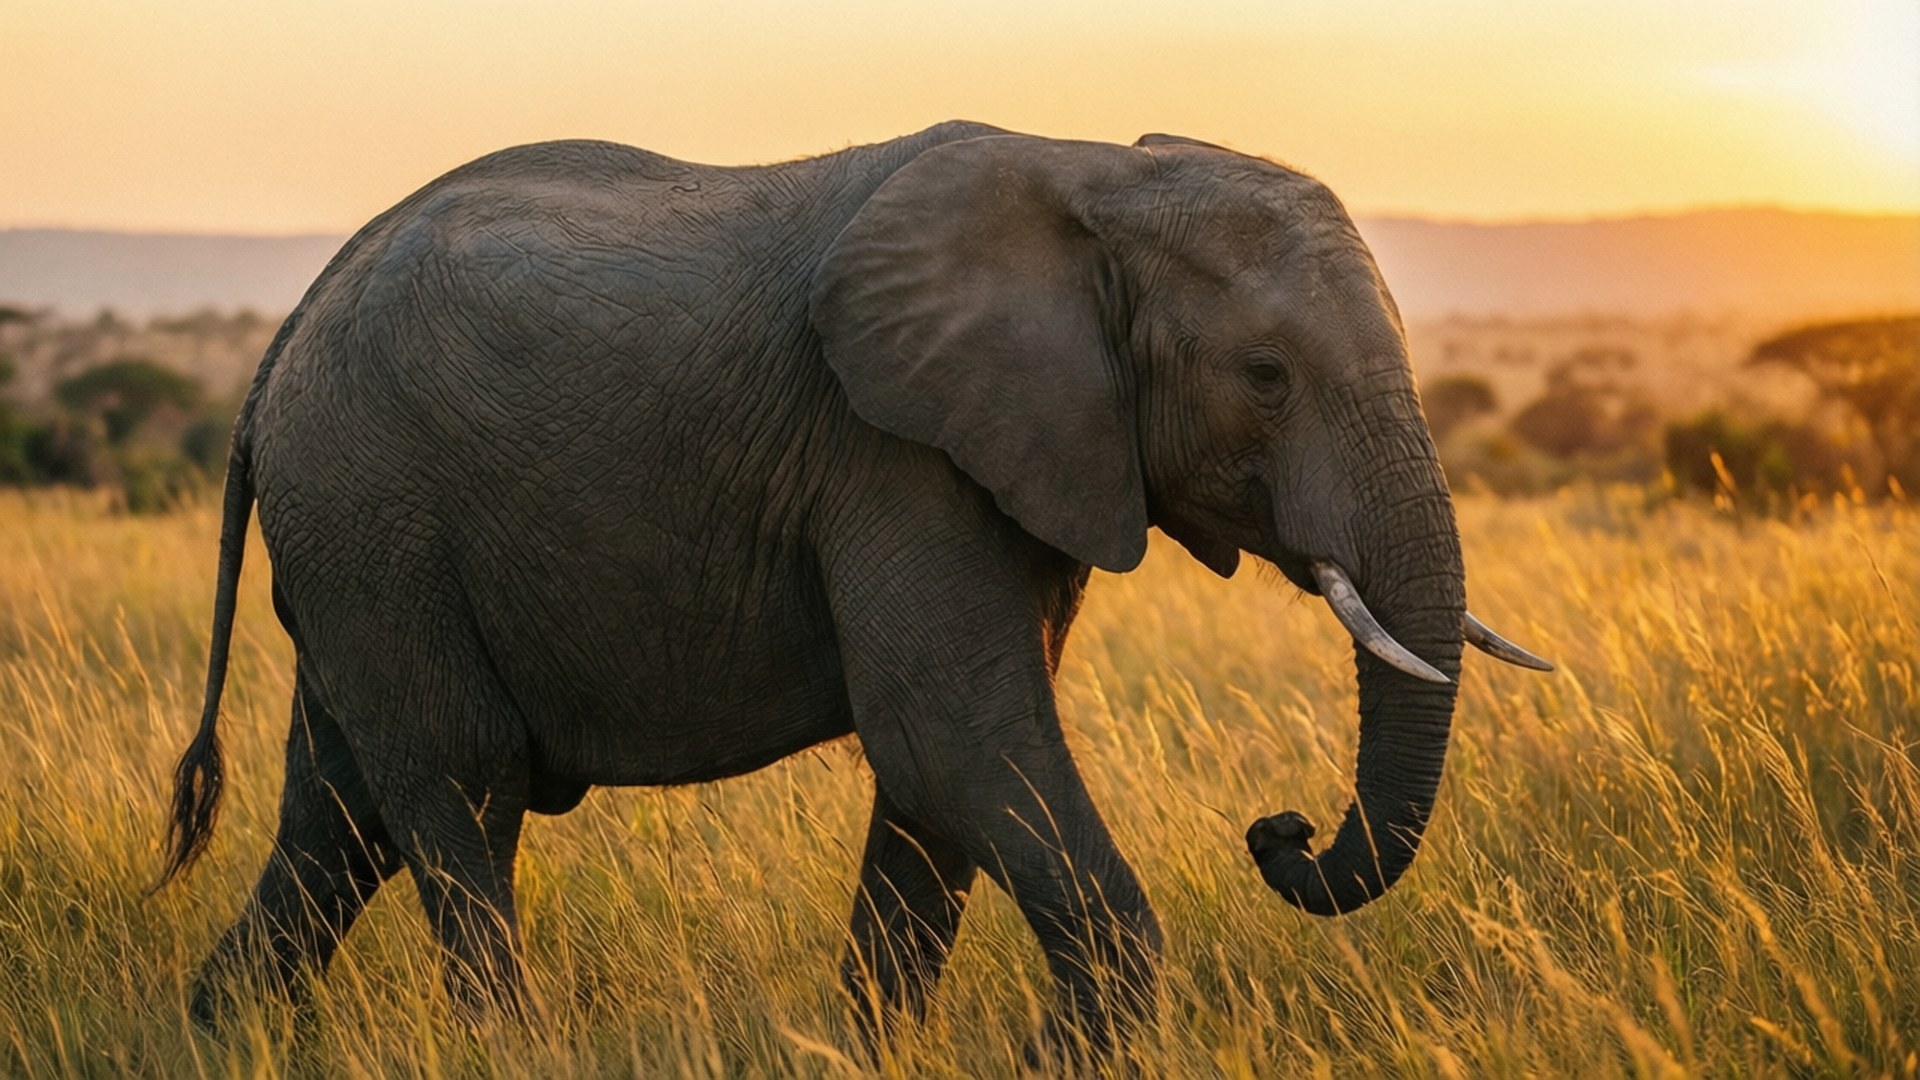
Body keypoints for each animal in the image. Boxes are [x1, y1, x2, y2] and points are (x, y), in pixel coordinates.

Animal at [157, 120, 1551, 1050]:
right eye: (1266, 376)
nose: (1280, 831)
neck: (1094, 171)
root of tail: (283, 341)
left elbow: (940, 782)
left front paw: (871, 1051)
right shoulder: (890, 451)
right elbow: (956, 740)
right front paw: (1056, 1060)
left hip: (355, 546)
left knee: (338, 821)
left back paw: (212, 1034)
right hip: (373, 514)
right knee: (461, 790)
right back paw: (506, 1048)